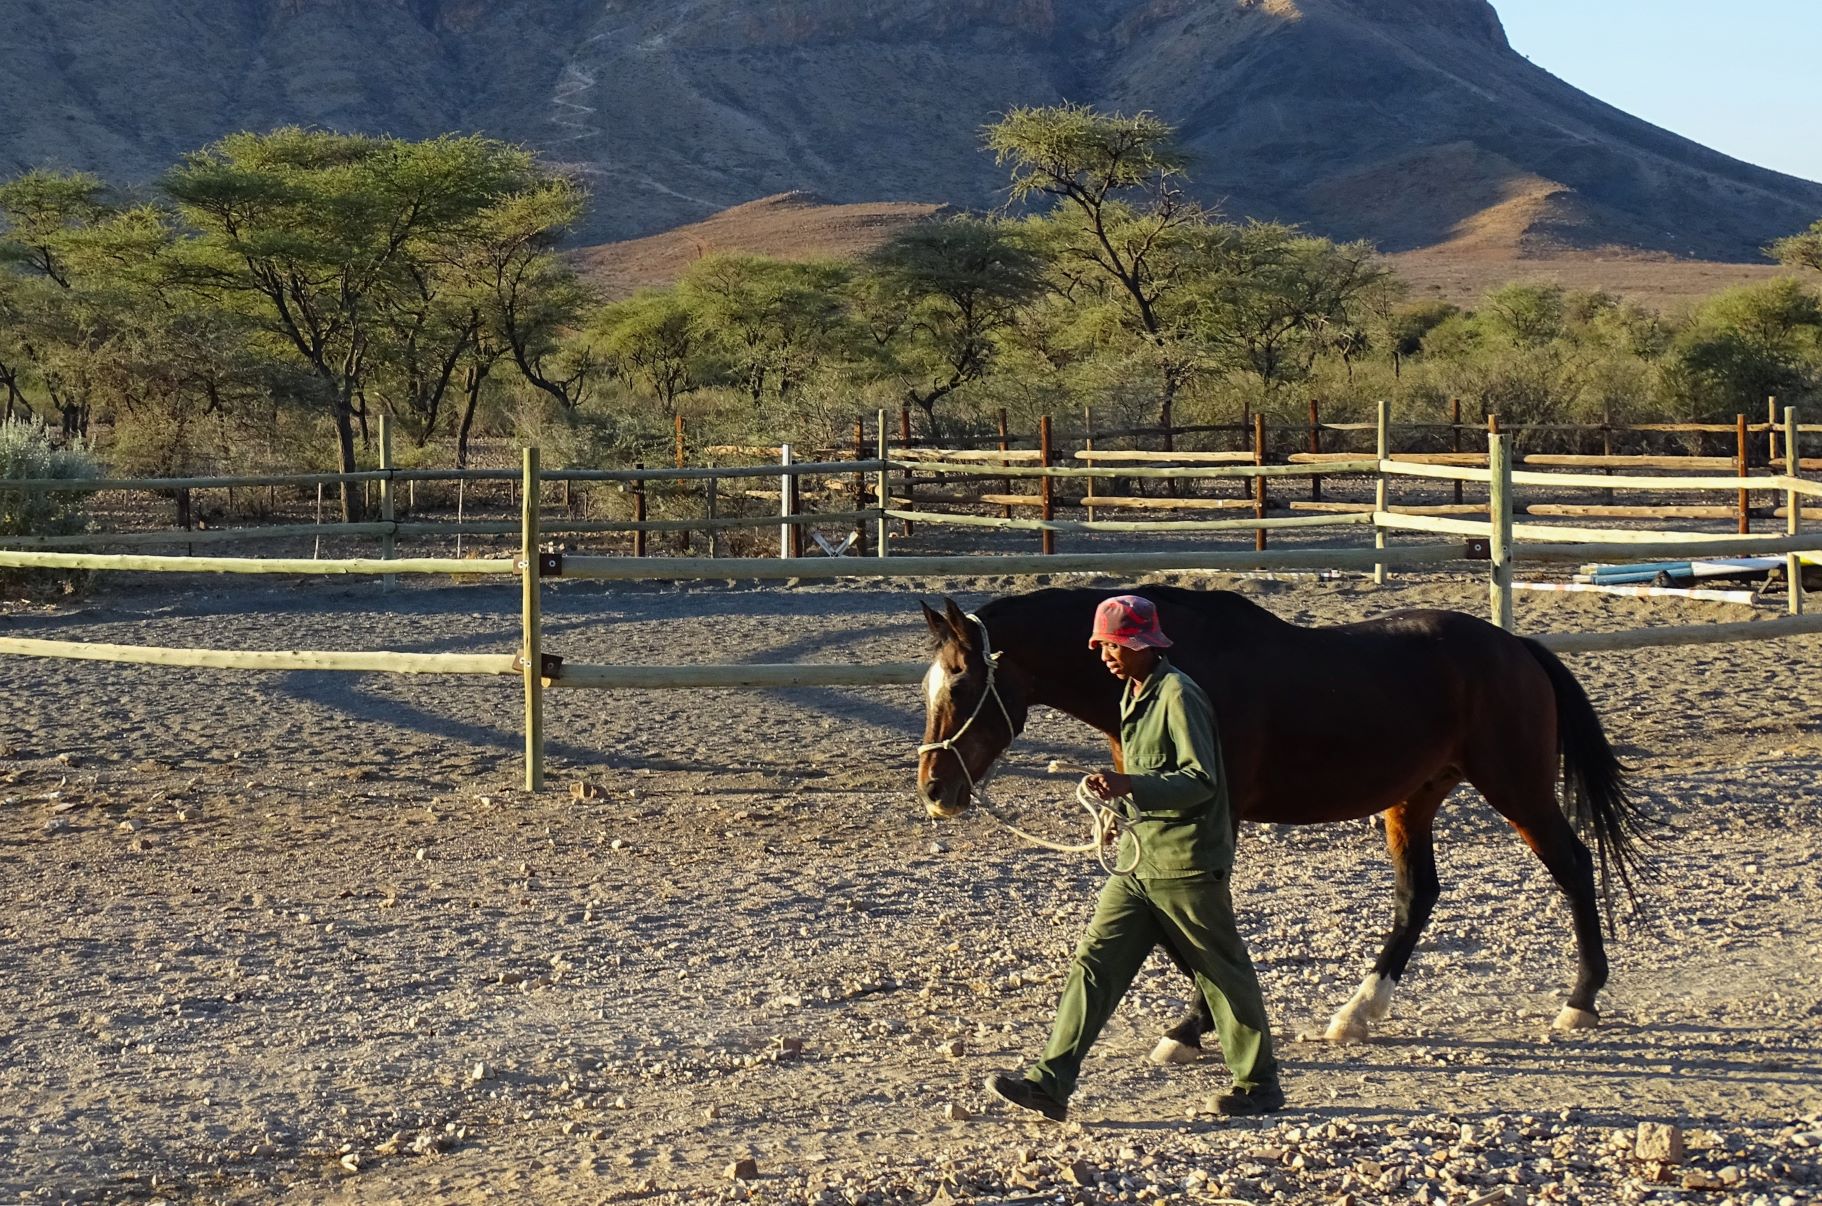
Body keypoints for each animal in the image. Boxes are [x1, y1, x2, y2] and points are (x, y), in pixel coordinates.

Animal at [911, 590, 1654, 1063]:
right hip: (1414, 800)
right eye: (930, 688)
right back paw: (1357, 1014)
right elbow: (1169, 922)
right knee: (1418, 896)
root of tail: (1517, 647)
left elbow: (1195, 918)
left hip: (1517, 788)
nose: (935, 790)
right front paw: (1197, 1024)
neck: (1184, 663)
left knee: (1573, 865)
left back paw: (1581, 1000)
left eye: (961, 686)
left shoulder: (1213, 810)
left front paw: (1191, 1027)